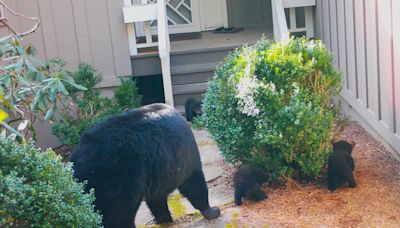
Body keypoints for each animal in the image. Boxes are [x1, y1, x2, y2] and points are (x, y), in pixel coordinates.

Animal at [69, 104, 219, 228]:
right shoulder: (185, 157)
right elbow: (193, 183)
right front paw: (212, 211)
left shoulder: (158, 173)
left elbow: (156, 199)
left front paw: (164, 218)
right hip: (118, 178)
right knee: (119, 215)